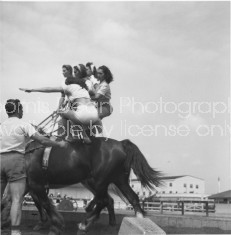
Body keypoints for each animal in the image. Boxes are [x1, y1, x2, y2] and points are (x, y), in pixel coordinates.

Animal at [23, 137, 162, 234]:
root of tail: (121, 143)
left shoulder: (35, 184)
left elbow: (44, 203)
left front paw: (54, 225)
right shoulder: (30, 186)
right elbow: (37, 203)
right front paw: (41, 222)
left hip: (99, 181)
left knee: (104, 200)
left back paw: (85, 224)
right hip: (118, 179)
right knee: (130, 197)